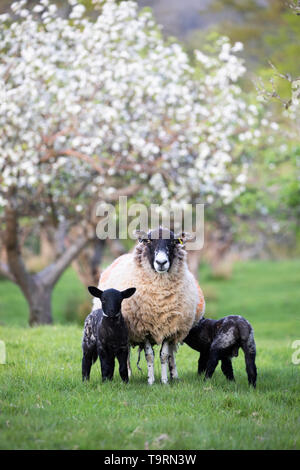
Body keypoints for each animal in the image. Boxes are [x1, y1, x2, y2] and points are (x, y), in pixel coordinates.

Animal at [92, 228, 205, 386]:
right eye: (149, 241)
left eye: (173, 242)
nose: (161, 262)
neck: (159, 296)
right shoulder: (143, 328)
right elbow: (149, 355)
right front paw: (151, 381)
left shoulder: (170, 327)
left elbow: (164, 355)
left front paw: (164, 381)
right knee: (127, 351)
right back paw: (129, 373)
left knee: (172, 353)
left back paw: (174, 375)